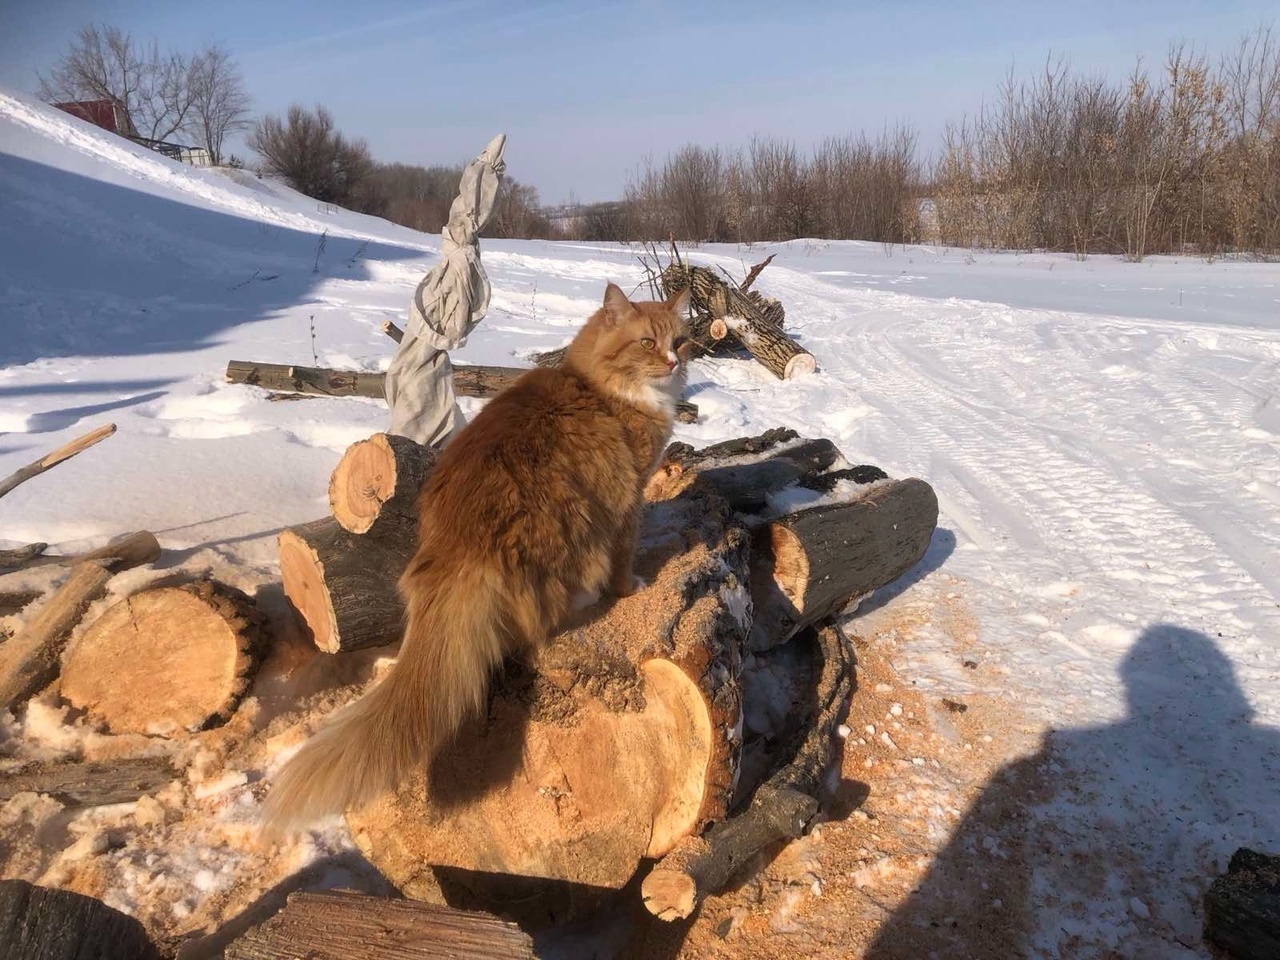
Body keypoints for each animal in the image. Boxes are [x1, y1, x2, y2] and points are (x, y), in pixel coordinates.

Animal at [261, 280, 696, 834]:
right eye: (646, 343)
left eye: (680, 340)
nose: (673, 362)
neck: (599, 387)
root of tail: (457, 549)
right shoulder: (628, 500)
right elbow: (625, 559)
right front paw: (630, 586)